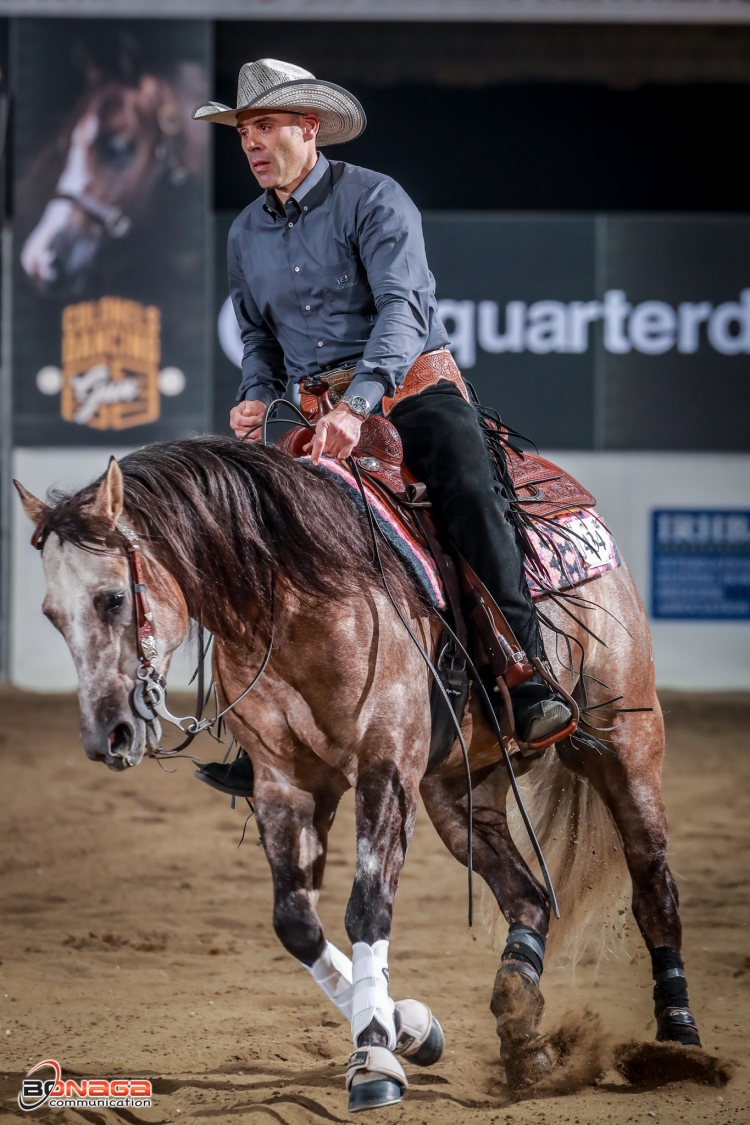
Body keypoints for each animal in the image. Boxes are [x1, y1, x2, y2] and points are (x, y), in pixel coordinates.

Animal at [13, 434, 706, 1111]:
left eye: (112, 598)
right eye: (51, 614)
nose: (108, 737)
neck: (295, 598)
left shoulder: (385, 766)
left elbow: (367, 910)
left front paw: (374, 1059)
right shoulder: (285, 784)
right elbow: (296, 923)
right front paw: (411, 1028)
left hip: (625, 745)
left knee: (653, 888)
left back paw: (679, 1043)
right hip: (458, 794)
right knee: (529, 898)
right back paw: (522, 1032)